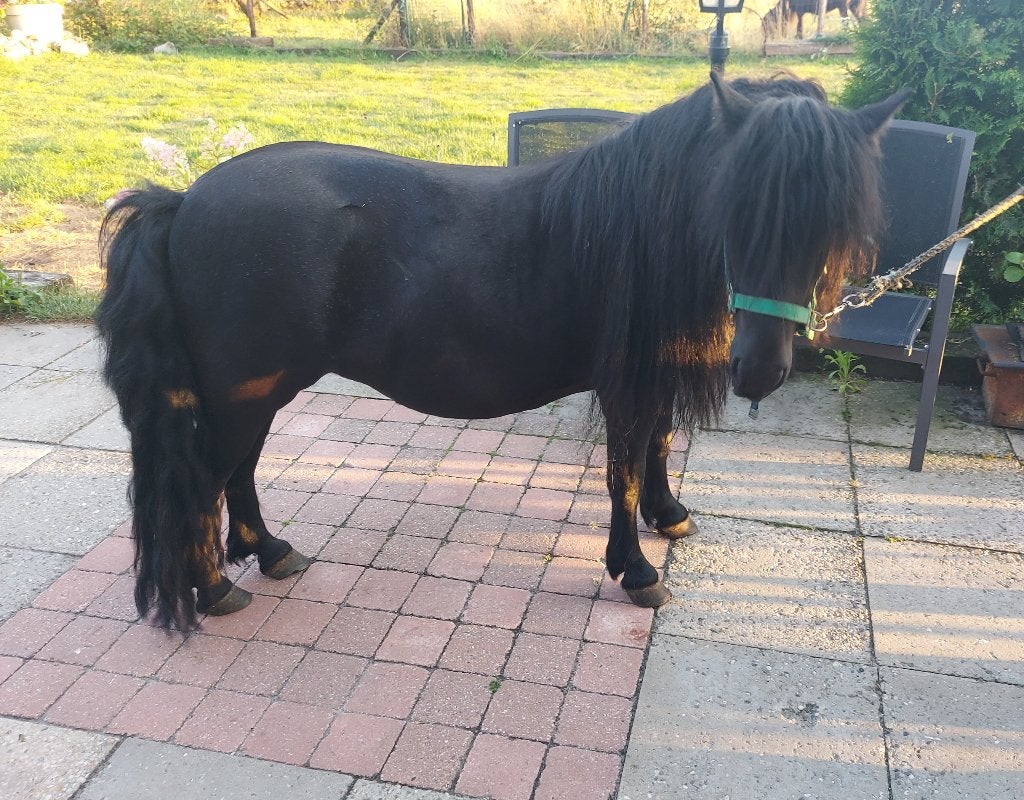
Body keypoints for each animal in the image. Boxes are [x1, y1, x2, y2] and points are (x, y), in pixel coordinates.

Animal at [97, 72, 906, 630]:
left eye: (834, 226)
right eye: (735, 206)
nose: (761, 371)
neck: (644, 227)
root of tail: (185, 200)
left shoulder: (654, 377)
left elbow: (659, 447)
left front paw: (669, 514)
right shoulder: (626, 384)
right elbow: (623, 471)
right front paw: (636, 569)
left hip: (260, 389)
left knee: (238, 471)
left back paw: (269, 553)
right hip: (243, 390)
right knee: (204, 477)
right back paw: (213, 587)